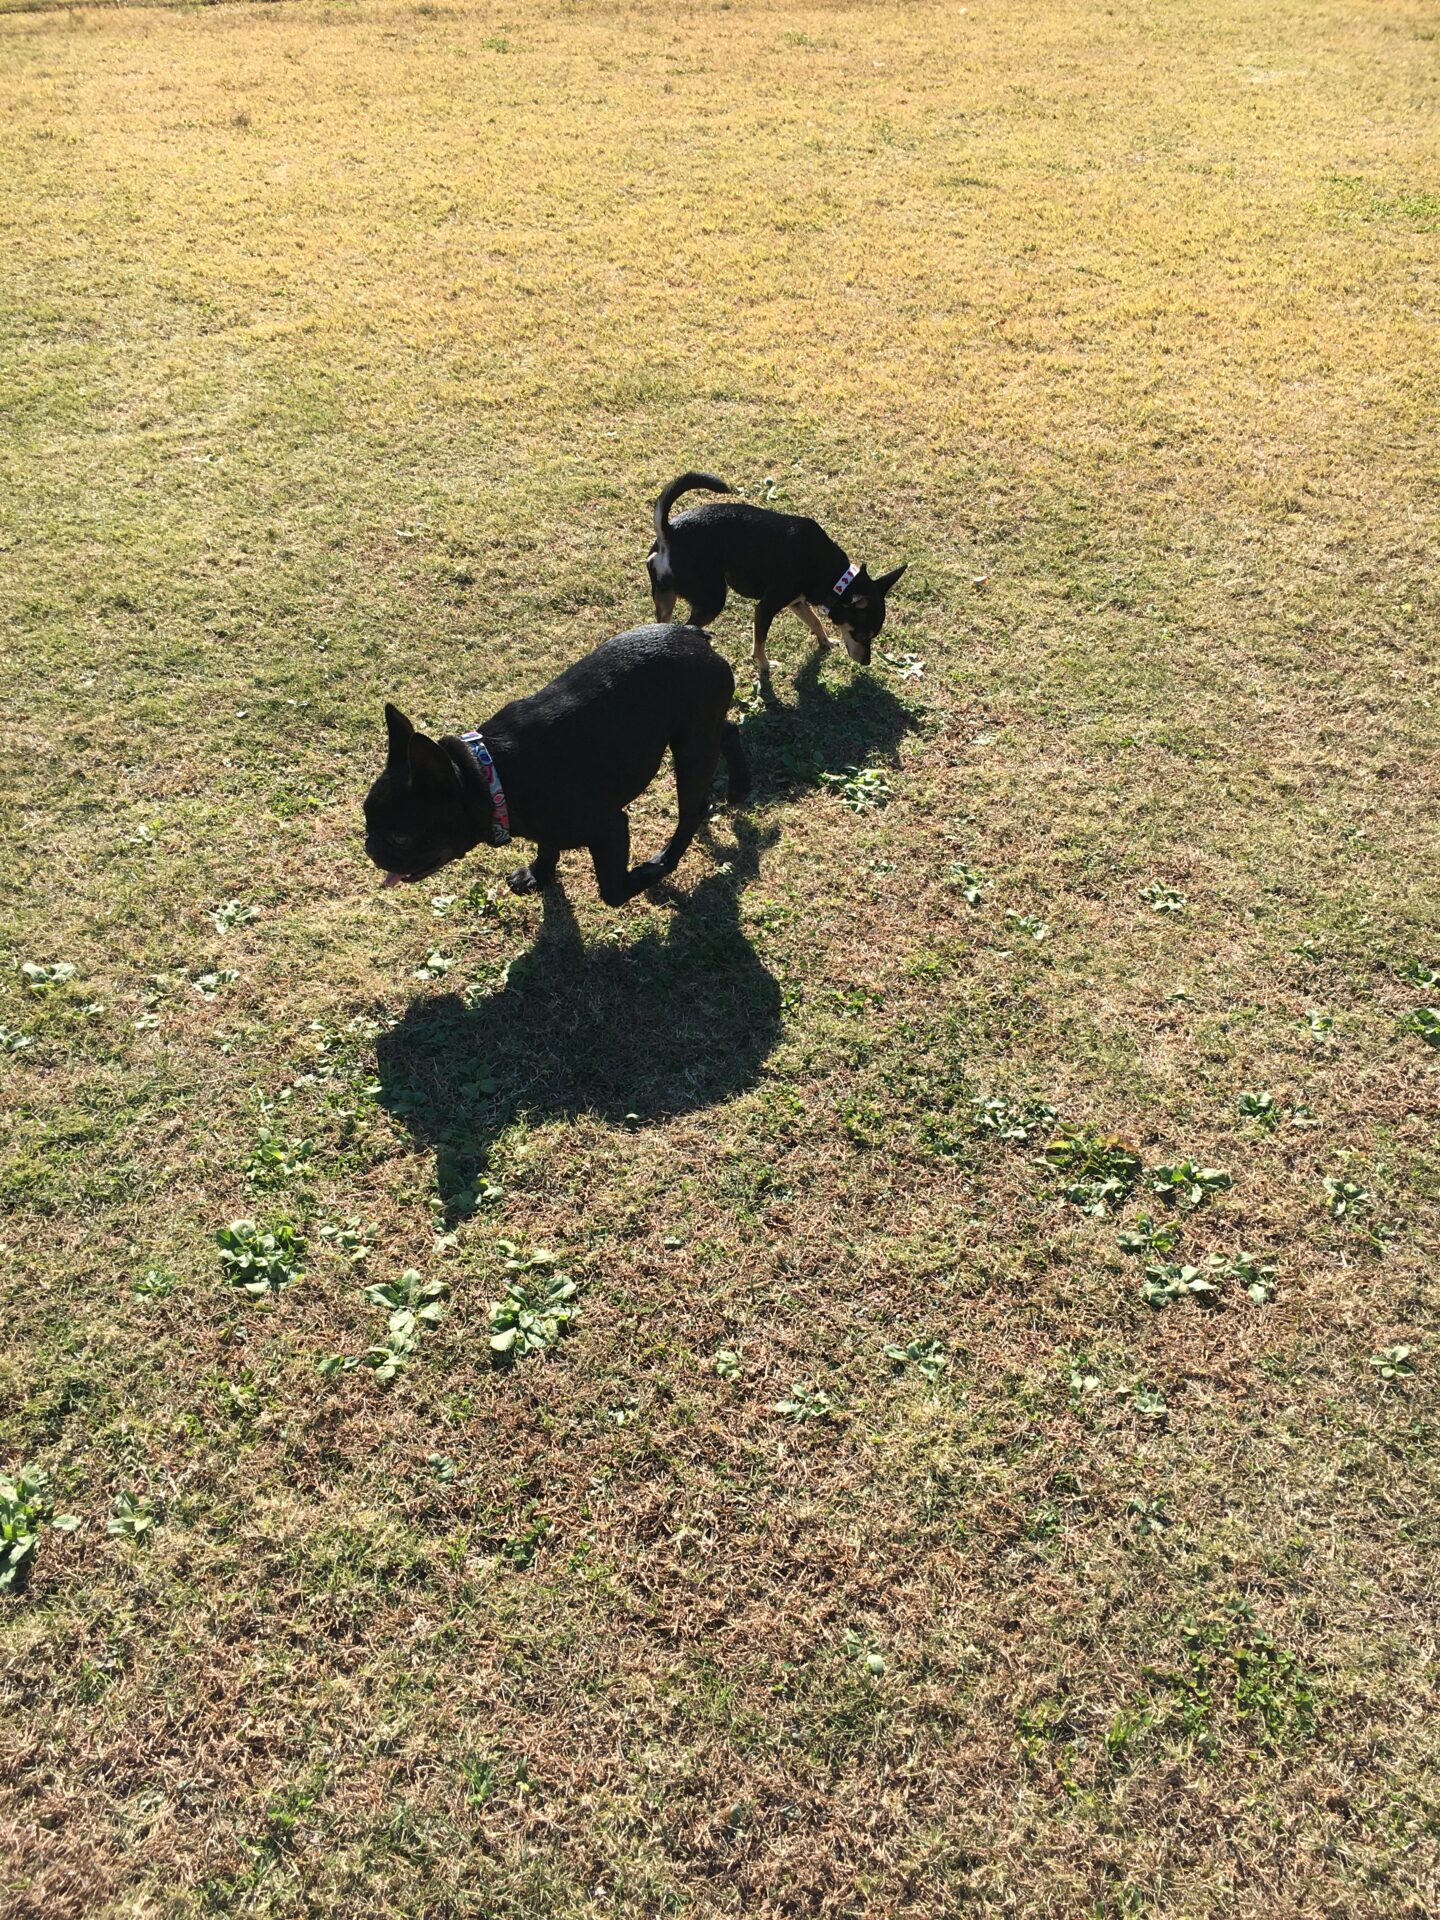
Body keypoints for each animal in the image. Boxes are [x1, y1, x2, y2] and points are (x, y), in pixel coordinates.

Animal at [364, 624, 749, 907]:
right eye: (366, 818)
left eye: (400, 837)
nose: (370, 847)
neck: (491, 775)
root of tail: (694, 634)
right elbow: (547, 845)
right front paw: (540, 873)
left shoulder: (609, 827)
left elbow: (612, 891)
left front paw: (643, 877)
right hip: (700, 733)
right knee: (729, 731)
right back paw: (739, 787)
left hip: (691, 750)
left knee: (692, 812)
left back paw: (663, 860)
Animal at [646, 471, 907, 674]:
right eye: (861, 636)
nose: (866, 662)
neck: (836, 578)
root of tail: (669, 532)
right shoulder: (766, 608)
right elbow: (759, 642)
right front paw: (764, 665)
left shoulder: (796, 602)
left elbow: (814, 621)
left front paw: (825, 642)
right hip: (712, 600)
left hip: (665, 598)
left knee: (664, 623)